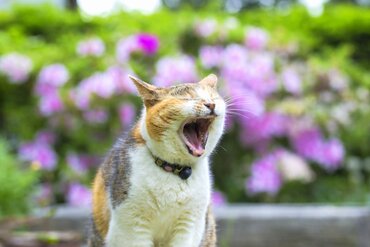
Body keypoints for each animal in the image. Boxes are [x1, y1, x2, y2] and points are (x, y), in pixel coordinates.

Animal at [88, 74, 225, 247]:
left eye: (213, 97)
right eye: (187, 98)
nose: (211, 104)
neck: (175, 170)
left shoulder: (190, 224)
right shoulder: (131, 226)